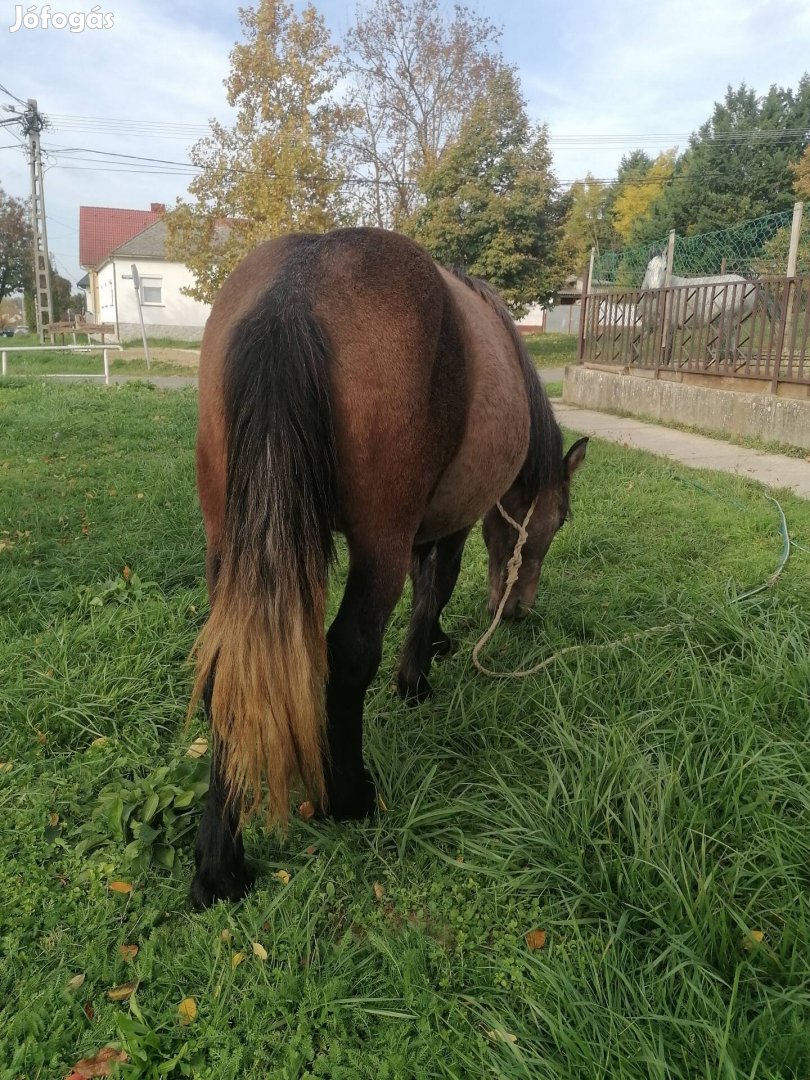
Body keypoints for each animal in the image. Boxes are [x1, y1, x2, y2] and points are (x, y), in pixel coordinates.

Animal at [189, 227, 591, 911]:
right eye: (559, 520)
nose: (515, 609)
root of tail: (296, 286)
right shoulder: (450, 523)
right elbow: (434, 589)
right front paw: (416, 676)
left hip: (232, 538)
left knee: (227, 665)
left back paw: (220, 867)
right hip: (379, 541)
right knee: (349, 652)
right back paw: (348, 797)